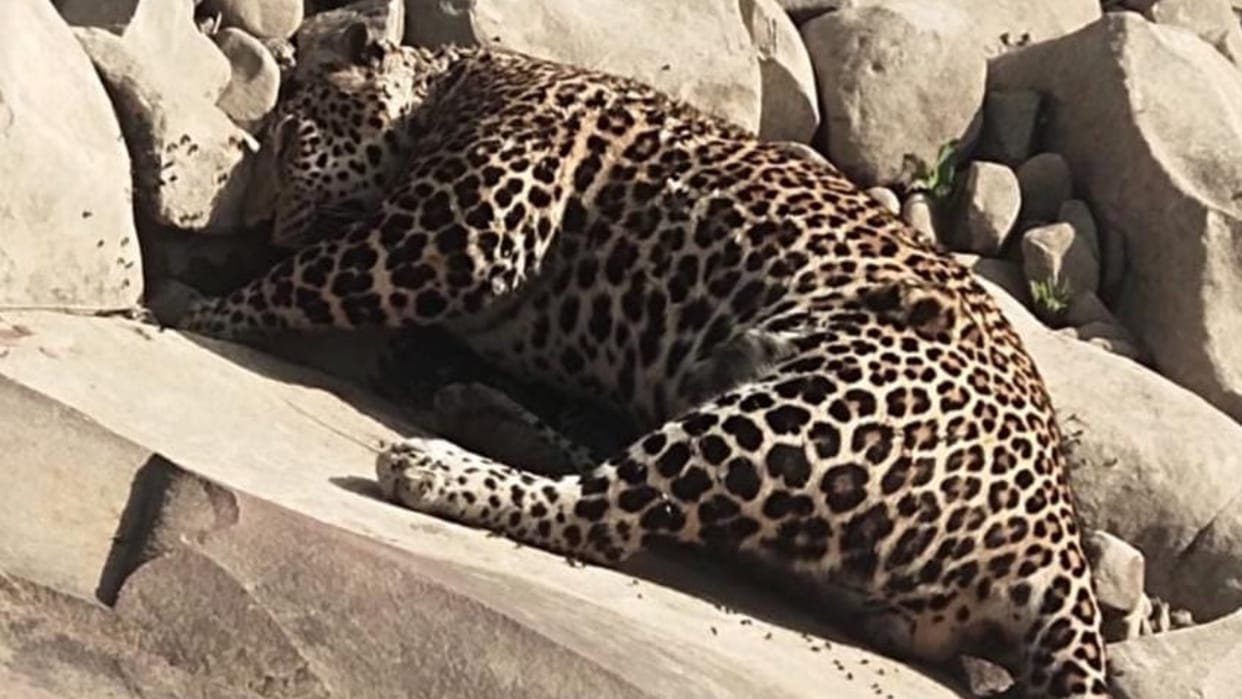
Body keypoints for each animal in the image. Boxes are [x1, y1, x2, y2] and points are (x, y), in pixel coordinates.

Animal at [175, 35, 1111, 698]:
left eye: (289, 140)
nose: (259, 217)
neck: (456, 84)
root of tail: (1061, 542)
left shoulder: (467, 233)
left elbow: (314, 274)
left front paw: (200, 308)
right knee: (621, 480)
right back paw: (483, 410)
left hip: (811, 404)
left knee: (608, 517)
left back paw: (435, 465)